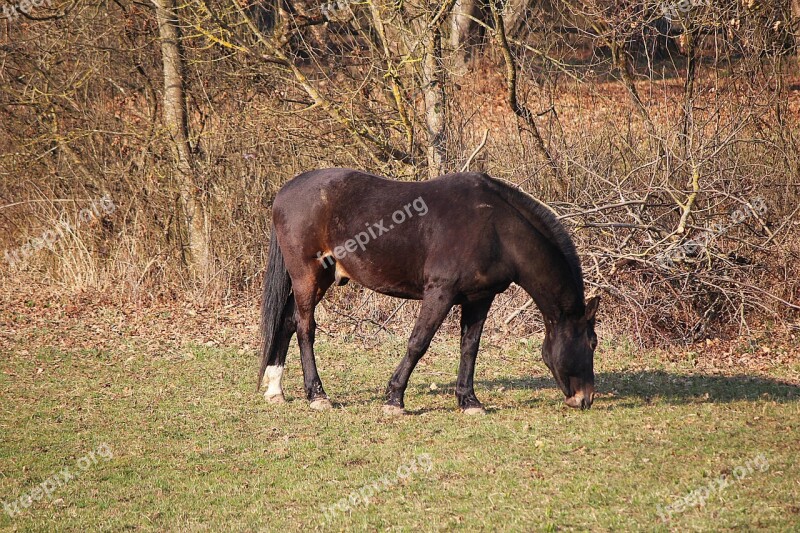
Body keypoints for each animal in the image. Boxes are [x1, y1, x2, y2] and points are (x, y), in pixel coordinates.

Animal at [258, 168, 600, 414]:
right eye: (592, 343)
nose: (585, 398)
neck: (496, 228)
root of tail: (285, 192)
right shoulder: (440, 293)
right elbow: (418, 343)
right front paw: (394, 399)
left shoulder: (480, 298)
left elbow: (470, 347)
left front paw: (469, 401)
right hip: (307, 275)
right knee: (305, 327)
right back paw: (317, 395)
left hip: (322, 278)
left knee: (287, 321)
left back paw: (275, 388)